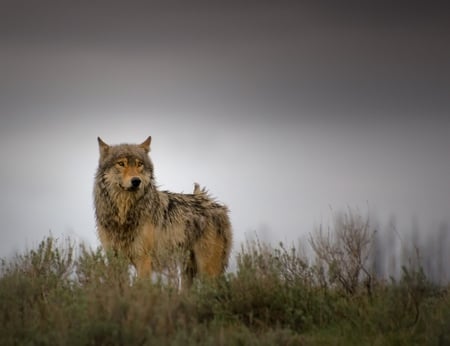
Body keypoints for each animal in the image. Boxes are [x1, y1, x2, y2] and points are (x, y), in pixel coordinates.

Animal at [92, 137, 232, 286]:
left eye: (139, 164)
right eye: (121, 163)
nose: (136, 181)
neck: (124, 215)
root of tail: (214, 203)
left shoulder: (143, 259)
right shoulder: (115, 259)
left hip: (208, 271)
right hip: (187, 272)